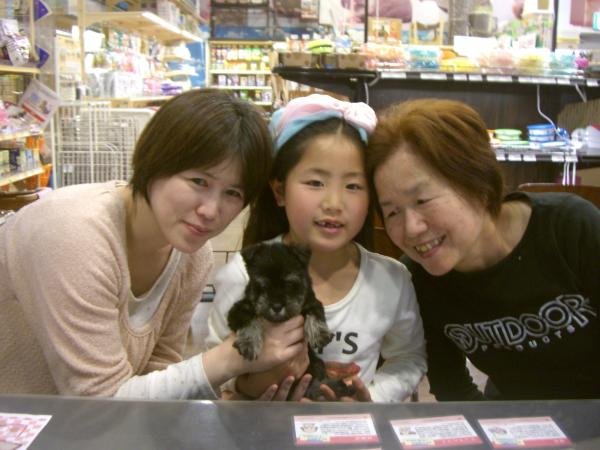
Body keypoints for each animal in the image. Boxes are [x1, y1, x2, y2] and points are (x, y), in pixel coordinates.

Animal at [227, 242, 354, 400]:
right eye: (263, 285)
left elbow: (315, 311)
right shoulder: (238, 309)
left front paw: (320, 334)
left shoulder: (309, 301)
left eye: (288, 284)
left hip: (315, 363)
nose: (276, 307)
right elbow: (249, 319)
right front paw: (249, 343)